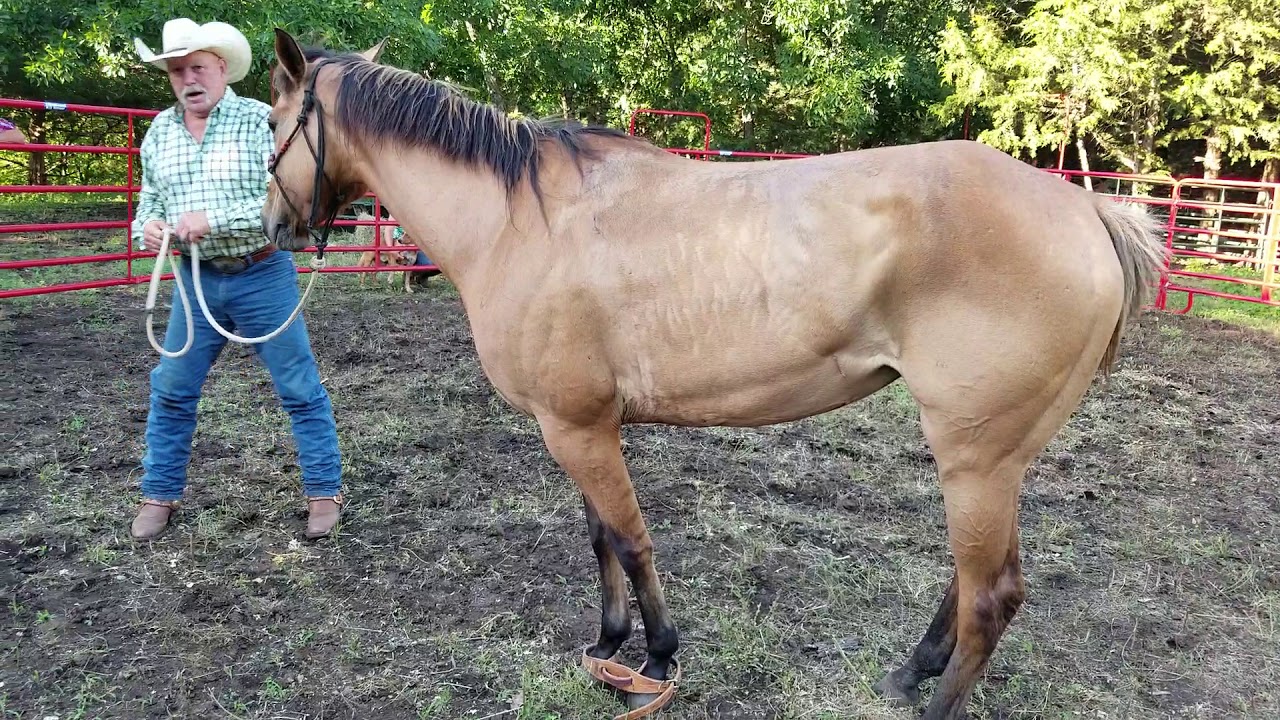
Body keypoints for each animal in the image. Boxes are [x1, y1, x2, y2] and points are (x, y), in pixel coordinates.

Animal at [260, 29, 1168, 720]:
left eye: (271, 123)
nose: (271, 227)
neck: (520, 221)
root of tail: (1086, 208)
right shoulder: (581, 425)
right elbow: (601, 536)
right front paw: (609, 642)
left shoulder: (576, 428)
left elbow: (630, 538)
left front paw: (657, 658)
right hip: (994, 458)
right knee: (974, 581)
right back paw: (911, 672)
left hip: (977, 456)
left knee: (990, 597)